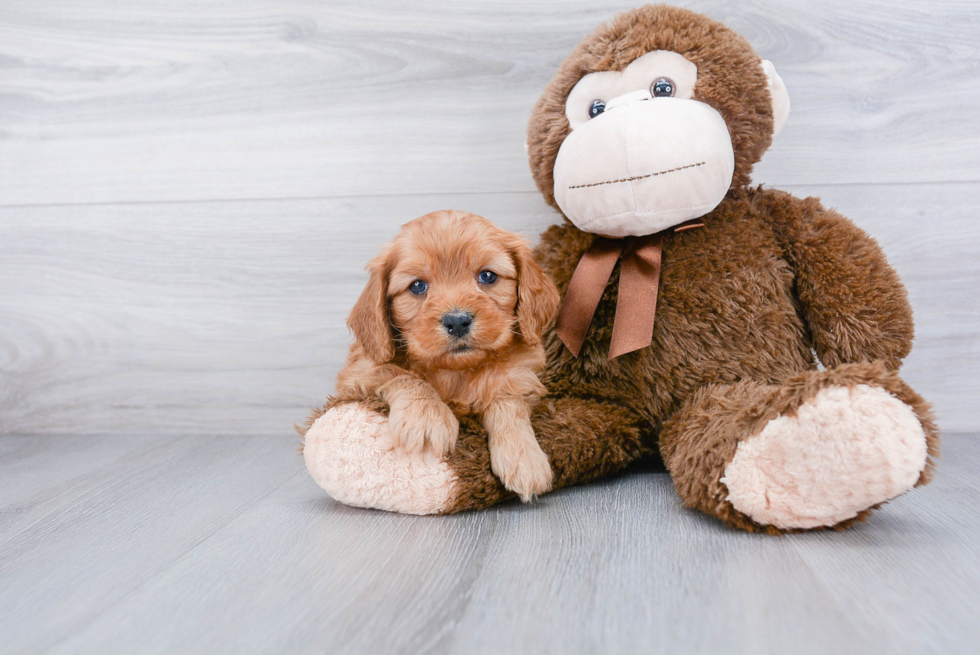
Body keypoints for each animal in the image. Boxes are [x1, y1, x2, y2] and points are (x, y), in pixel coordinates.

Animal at [336, 210, 560, 502]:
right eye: (417, 286)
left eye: (487, 276)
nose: (457, 321)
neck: (455, 371)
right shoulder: (359, 372)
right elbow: (400, 375)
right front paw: (426, 415)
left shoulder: (519, 374)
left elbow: (507, 400)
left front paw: (523, 455)